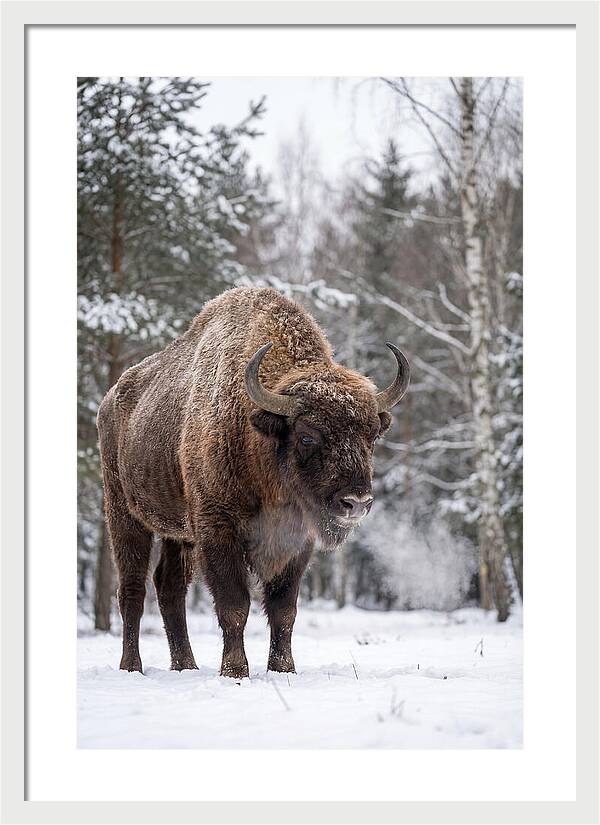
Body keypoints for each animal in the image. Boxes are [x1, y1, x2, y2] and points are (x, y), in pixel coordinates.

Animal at [97, 287, 410, 678]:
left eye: (371, 436)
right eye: (307, 436)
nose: (356, 502)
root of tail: (110, 400)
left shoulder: (297, 542)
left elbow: (283, 609)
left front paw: (283, 669)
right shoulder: (217, 531)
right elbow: (235, 605)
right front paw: (234, 671)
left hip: (178, 533)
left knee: (169, 588)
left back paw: (186, 666)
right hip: (125, 514)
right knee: (133, 590)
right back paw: (132, 667)